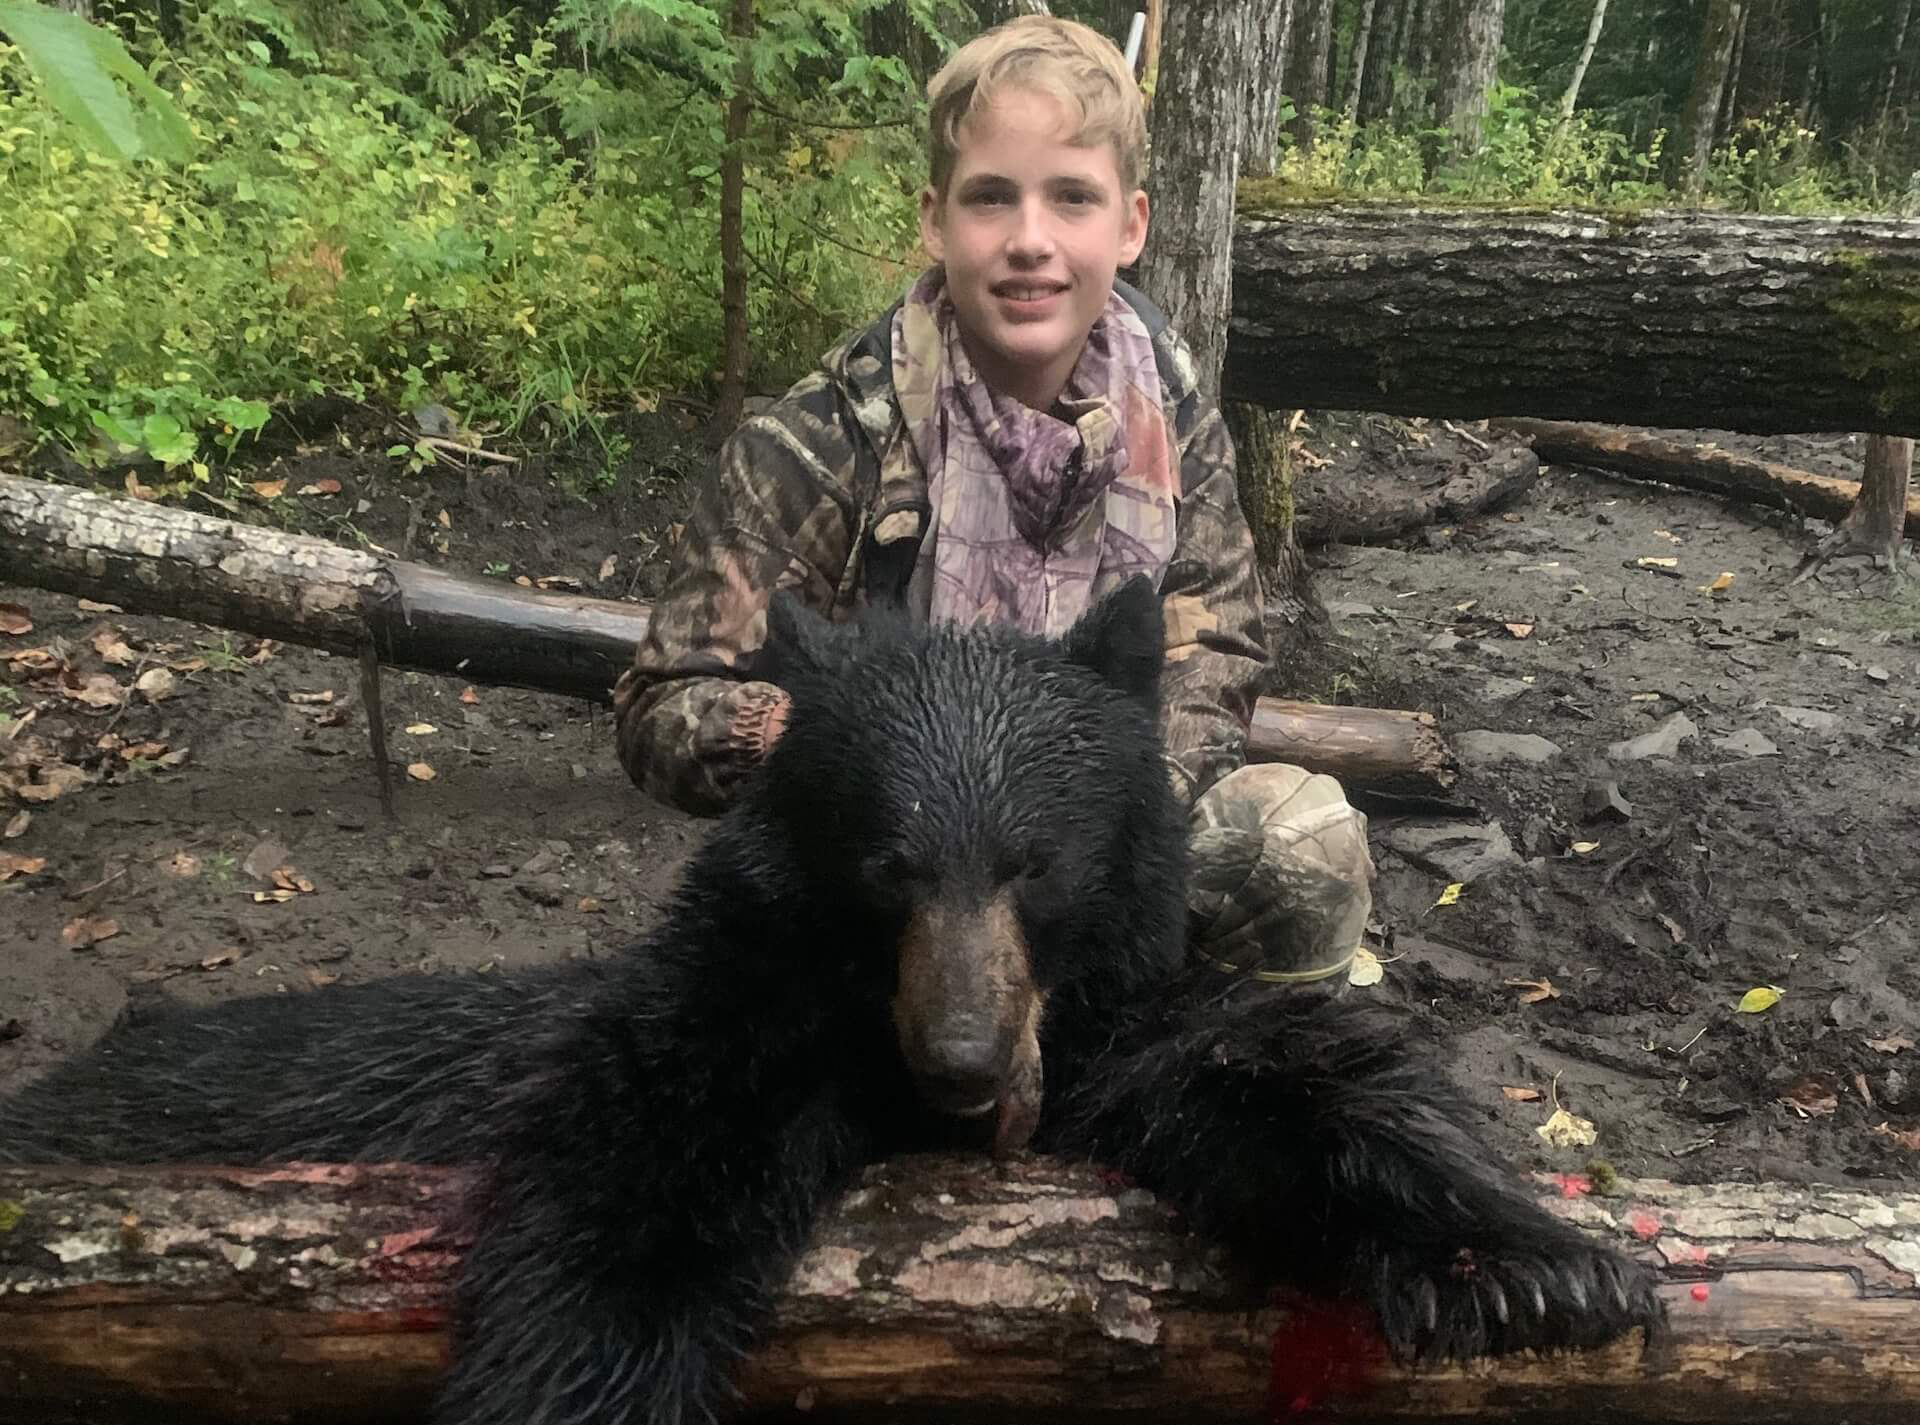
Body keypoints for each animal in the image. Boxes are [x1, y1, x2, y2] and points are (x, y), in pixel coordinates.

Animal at [0, 583, 1651, 1425]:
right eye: (886, 862)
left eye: (1034, 863)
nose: (967, 1063)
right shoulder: (728, 1016)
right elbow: (626, 1209)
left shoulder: (1106, 1022)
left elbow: (1283, 1071)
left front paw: (1525, 1270)